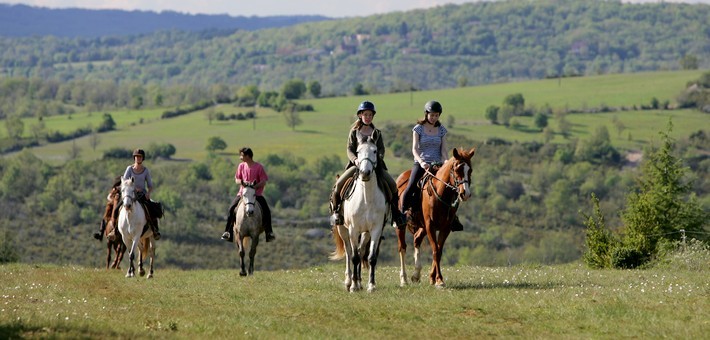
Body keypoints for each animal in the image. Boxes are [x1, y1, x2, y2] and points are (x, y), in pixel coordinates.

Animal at [332, 136, 390, 292]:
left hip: (365, 233)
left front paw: (371, 285)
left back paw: (358, 281)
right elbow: (354, 257)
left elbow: (371, 257)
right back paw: (349, 281)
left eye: (375, 150)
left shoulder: (375, 229)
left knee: (360, 249)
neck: (366, 198)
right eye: (358, 151)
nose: (365, 172)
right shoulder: (353, 229)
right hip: (343, 229)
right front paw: (353, 286)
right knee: (349, 252)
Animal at [394, 147, 478, 288]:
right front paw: (438, 280)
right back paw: (403, 279)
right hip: (402, 226)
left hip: (422, 226)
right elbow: (435, 250)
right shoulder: (430, 226)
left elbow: (439, 250)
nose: (465, 193)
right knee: (402, 247)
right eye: (457, 169)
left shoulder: (445, 227)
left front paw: (434, 278)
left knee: (416, 239)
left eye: (470, 170)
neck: (440, 193)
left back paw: (416, 275)